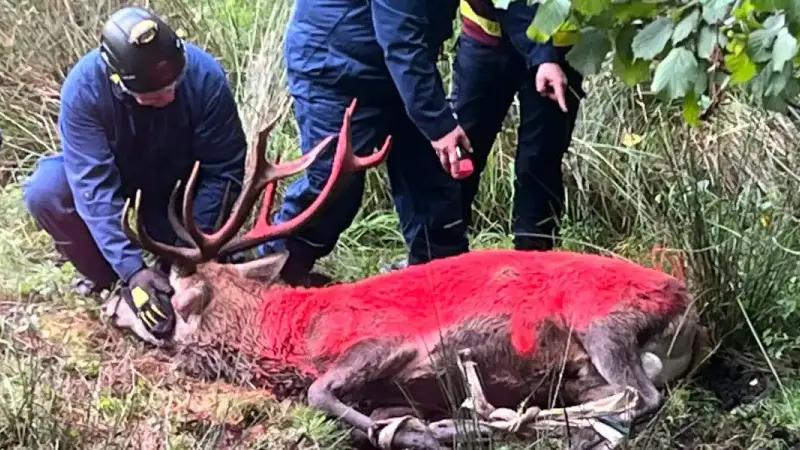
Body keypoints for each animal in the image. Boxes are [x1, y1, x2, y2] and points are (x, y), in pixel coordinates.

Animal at [102, 99, 711, 450]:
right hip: (592, 359)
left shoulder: (390, 340)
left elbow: (320, 392)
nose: (111, 304)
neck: (293, 334)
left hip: (602, 318)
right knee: (623, 397)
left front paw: (398, 429)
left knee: (641, 397)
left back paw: (505, 417)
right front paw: (415, 425)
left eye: (165, 290)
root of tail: (691, 313)